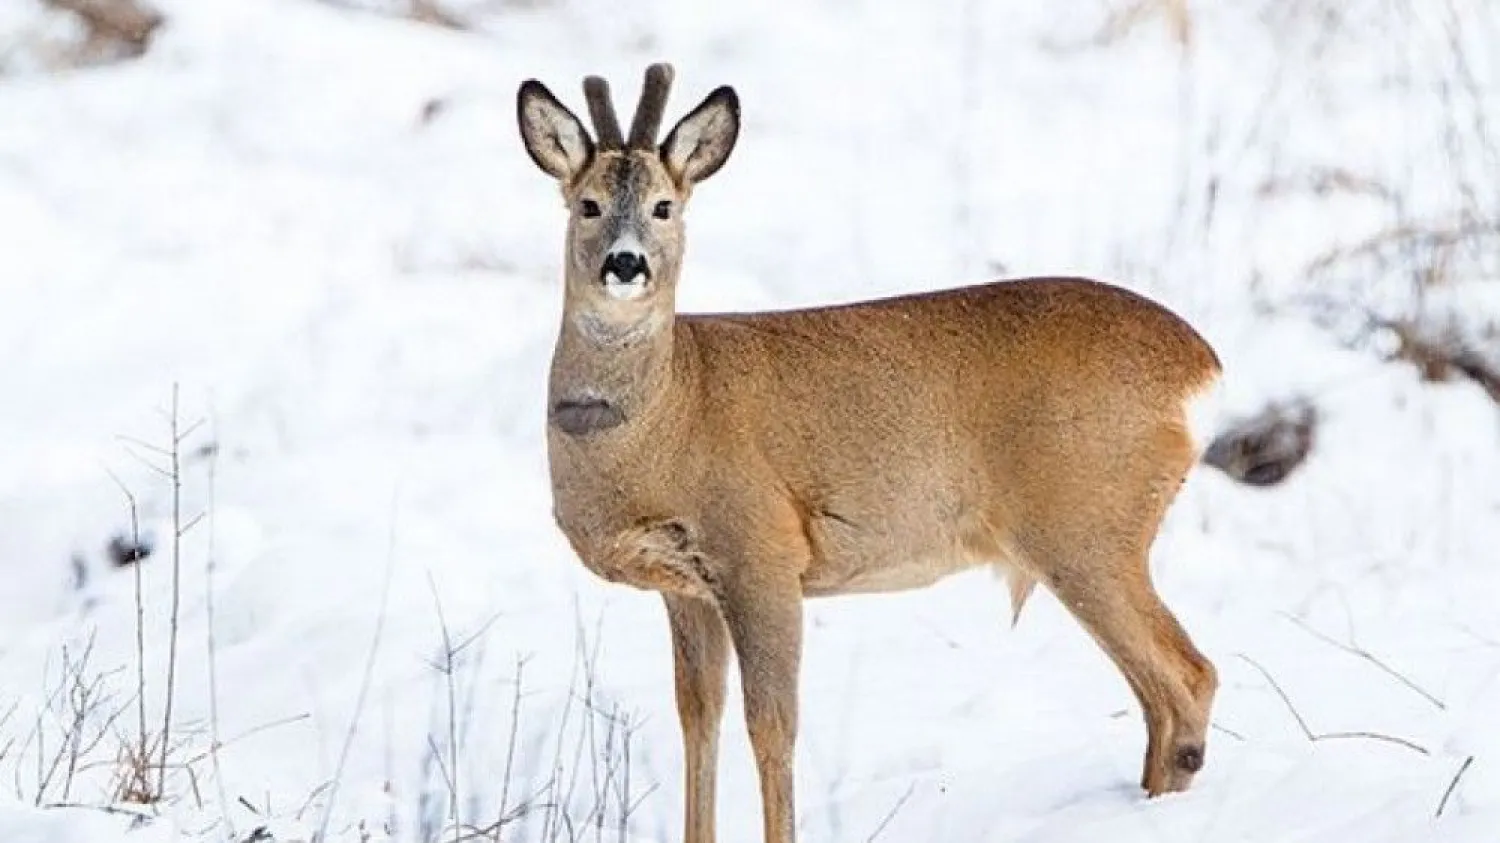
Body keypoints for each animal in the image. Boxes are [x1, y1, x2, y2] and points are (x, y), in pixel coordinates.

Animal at [522, 64, 1224, 840]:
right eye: (587, 205)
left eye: (664, 206)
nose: (626, 263)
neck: (669, 416)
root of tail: (1202, 368)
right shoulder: (687, 586)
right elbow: (696, 721)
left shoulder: (762, 551)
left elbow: (773, 725)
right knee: (1161, 693)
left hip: (1087, 524)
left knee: (1189, 677)